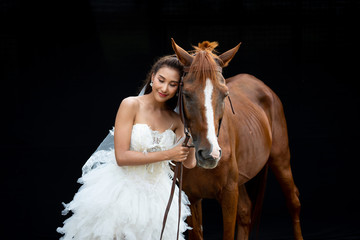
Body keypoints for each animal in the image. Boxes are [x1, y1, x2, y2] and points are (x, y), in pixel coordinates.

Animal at [170, 38, 302, 239]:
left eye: (225, 94)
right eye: (186, 94)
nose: (209, 154)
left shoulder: (229, 193)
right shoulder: (190, 196)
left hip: (280, 160)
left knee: (293, 201)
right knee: (246, 211)